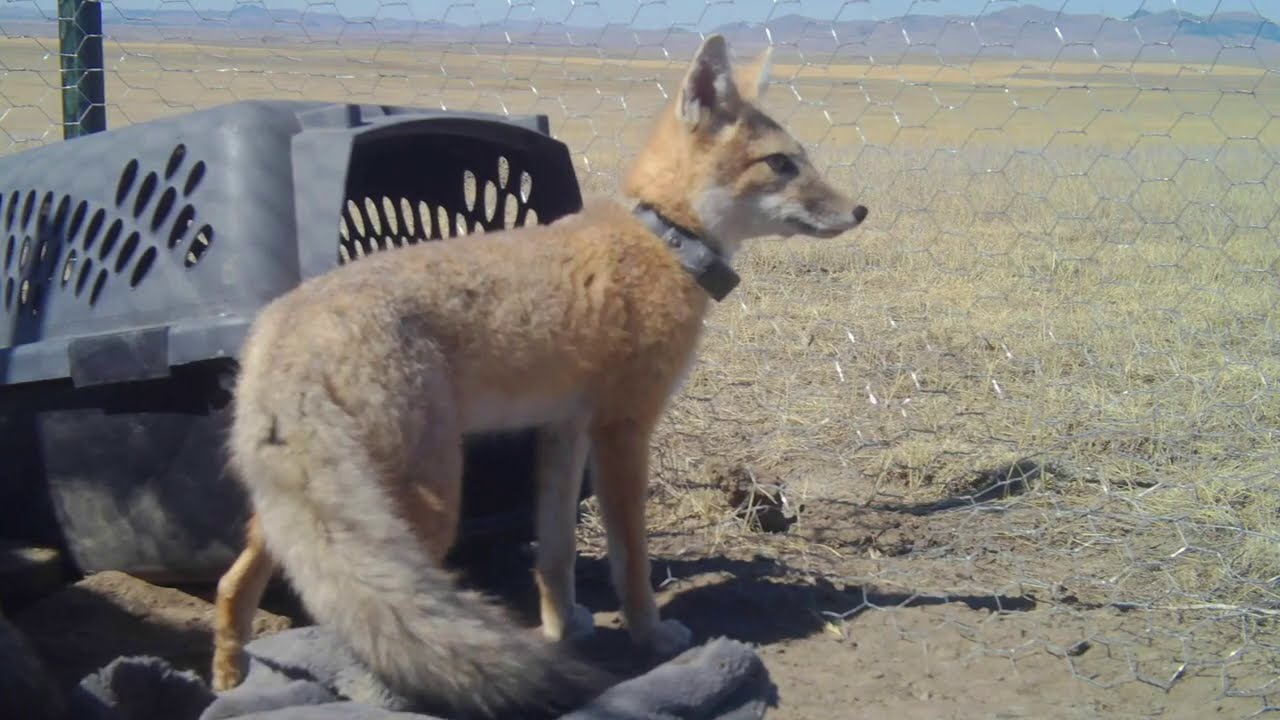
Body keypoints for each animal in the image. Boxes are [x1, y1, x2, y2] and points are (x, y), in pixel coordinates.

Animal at [212, 33, 870, 717]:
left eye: (802, 160)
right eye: (781, 164)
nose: (860, 210)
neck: (663, 240)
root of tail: (285, 323)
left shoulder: (565, 429)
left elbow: (555, 554)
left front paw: (561, 629)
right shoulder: (623, 430)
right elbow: (631, 560)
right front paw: (650, 636)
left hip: (303, 513)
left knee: (234, 584)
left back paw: (230, 677)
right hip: (429, 507)